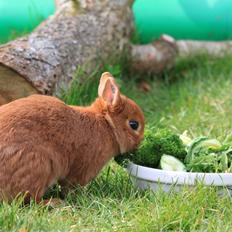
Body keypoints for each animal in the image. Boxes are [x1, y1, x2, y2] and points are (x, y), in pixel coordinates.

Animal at [0, 71, 144, 202]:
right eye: (134, 124)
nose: (139, 144)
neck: (107, 124)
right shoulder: (82, 170)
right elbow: (71, 186)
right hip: (39, 165)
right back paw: (54, 203)